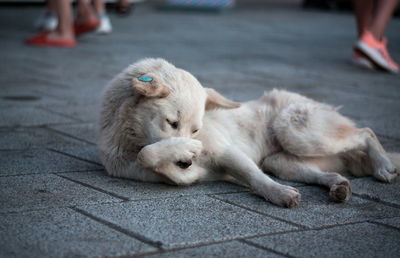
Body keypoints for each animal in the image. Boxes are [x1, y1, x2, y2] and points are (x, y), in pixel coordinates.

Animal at [97, 58, 400, 208]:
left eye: (196, 129)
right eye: (171, 123)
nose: (186, 162)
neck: (130, 136)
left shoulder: (226, 151)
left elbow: (256, 178)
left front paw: (279, 194)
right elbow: (148, 157)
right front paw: (179, 159)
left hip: (294, 130)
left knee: (366, 131)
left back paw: (383, 166)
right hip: (281, 161)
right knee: (330, 172)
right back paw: (339, 187)